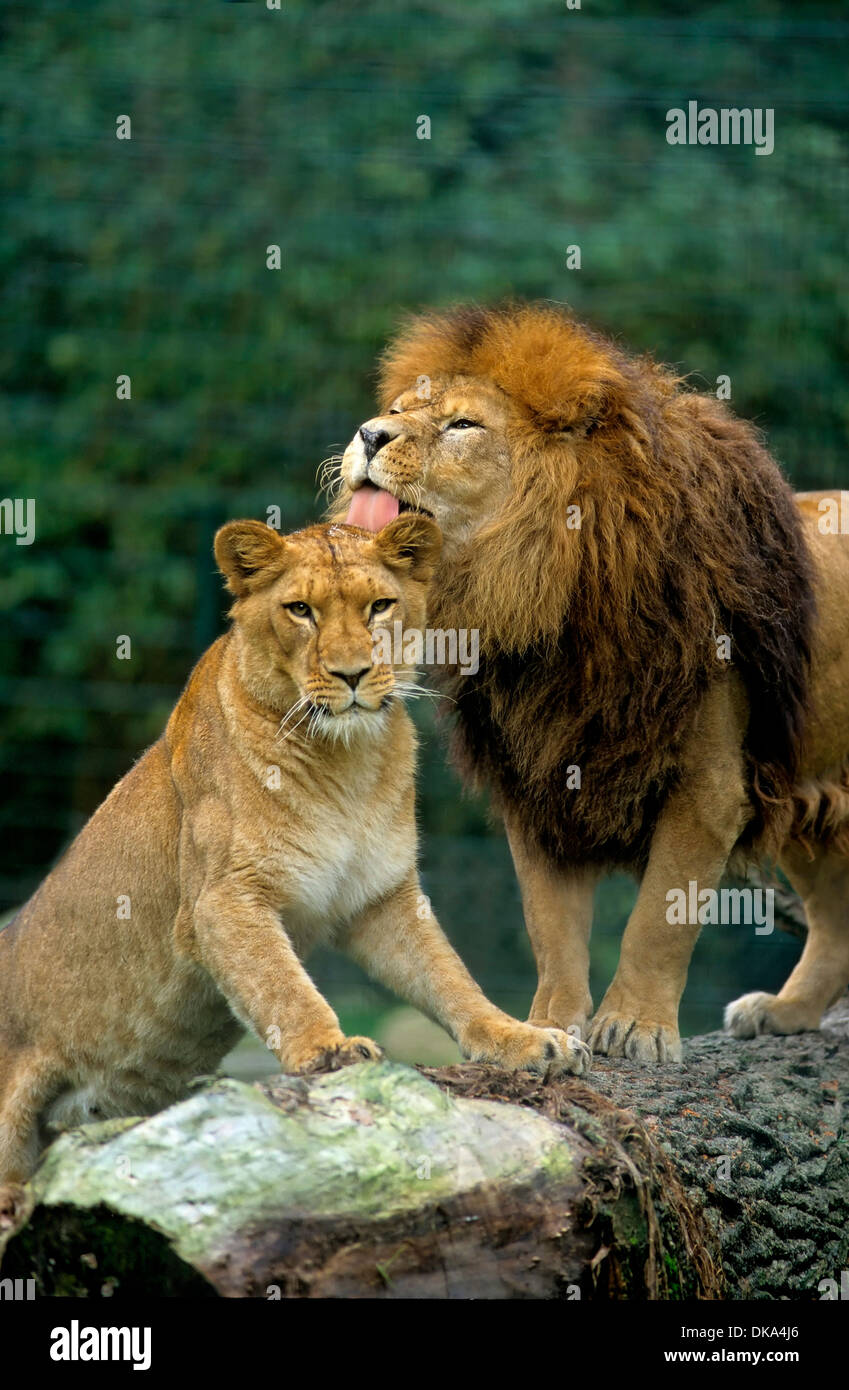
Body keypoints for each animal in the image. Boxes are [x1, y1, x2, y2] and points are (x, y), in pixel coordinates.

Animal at [0, 517, 583, 1223]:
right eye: (300, 610)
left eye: (379, 606)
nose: (353, 674)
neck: (346, 762)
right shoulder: (222, 899)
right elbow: (283, 987)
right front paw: (329, 1050)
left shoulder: (381, 898)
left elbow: (450, 979)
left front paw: (522, 1039)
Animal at [337, 301, 849, 1061]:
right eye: (397, 410)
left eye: (463, 426)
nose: (369, 434)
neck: (545, 586)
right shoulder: (540, 774)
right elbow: (549, 924)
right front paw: (547, 1025)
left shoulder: (709, 784)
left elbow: (659, 918)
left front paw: (634, 1027)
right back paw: (787, 1012)